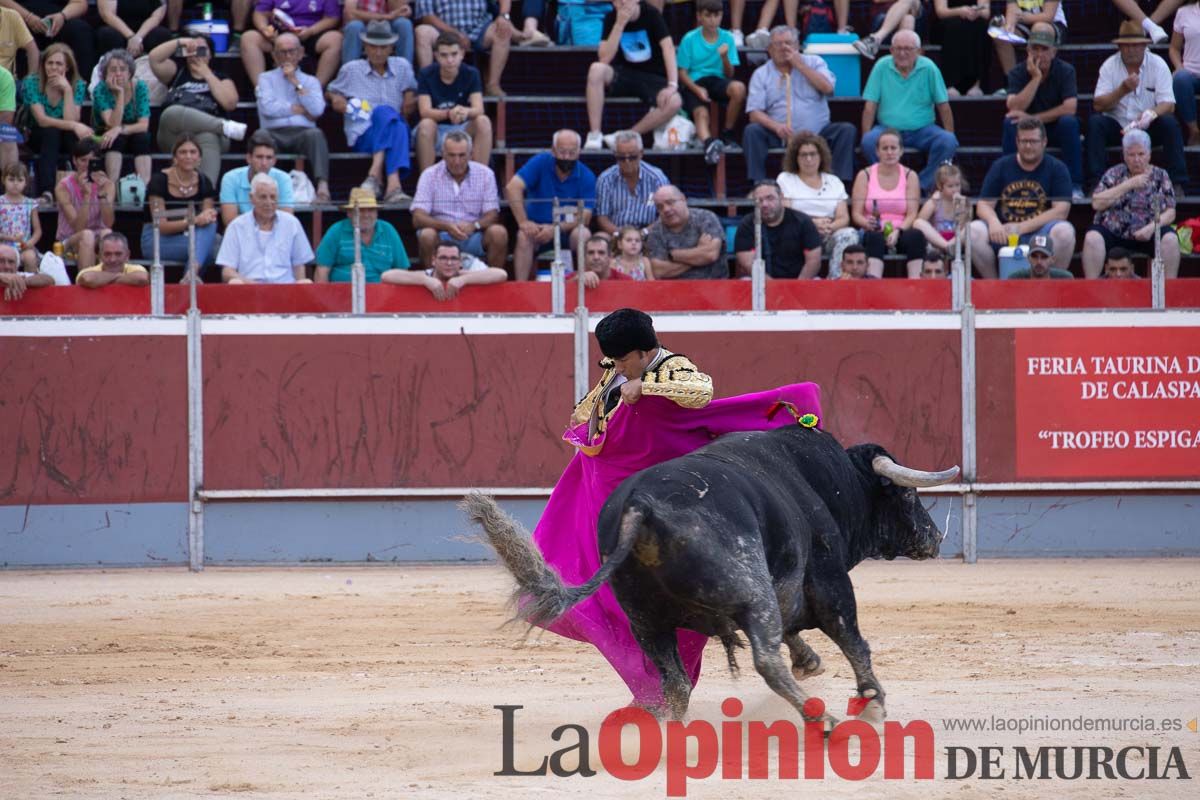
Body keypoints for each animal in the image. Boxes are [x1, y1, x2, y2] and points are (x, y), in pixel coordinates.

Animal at [458, 429, 955, 729]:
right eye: (908, 495)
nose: (935, 536)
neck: (829, 482)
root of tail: (642, 507)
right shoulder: (829, 581)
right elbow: (851, 638)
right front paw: (873, 704)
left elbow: (793, 627)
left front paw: (810, 660)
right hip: (748, 583)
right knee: (765, 659)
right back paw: (823, 720)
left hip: (645, 620)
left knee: (676, 681)